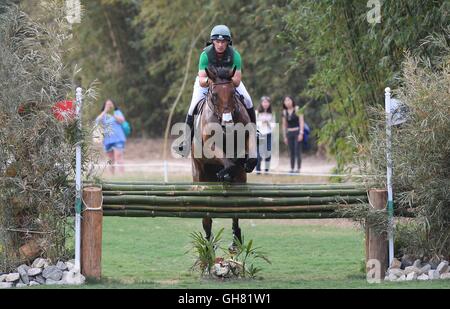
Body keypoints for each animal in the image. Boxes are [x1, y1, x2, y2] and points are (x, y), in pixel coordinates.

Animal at [190, 65, 256, 250]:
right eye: (214, 94)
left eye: (233, 93)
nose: (228, 123)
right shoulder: (209, 147)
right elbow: (225, 160)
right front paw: (224, 172)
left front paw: (249, 162)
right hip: (200, 176)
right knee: (206, 216)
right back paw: (207, 242)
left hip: (240, 180)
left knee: (235, 209)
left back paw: (236, 240)